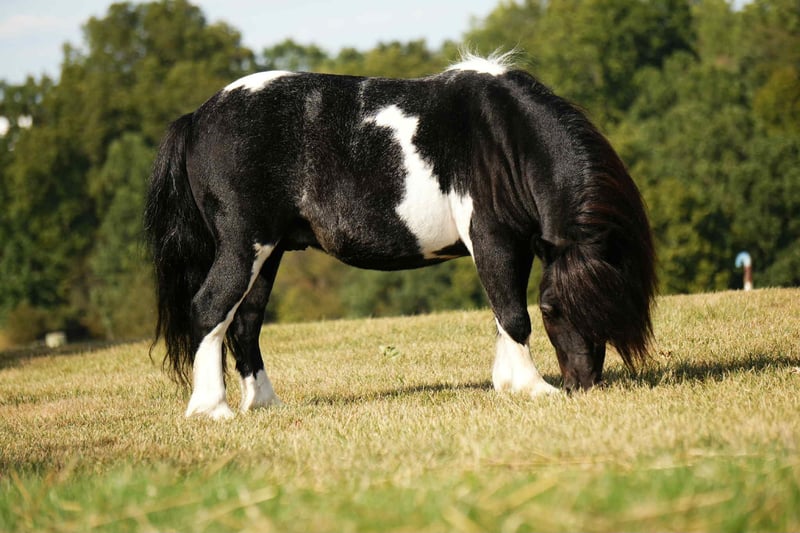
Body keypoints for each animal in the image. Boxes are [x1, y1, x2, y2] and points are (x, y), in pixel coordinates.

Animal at [144, 53, 657, 419]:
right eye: (552, 309)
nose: (579, 385)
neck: (503, 137)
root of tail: (198, 118)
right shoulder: (492, 238)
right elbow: (513, 315)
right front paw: (532, 388)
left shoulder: (515, 244)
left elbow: (500, 310)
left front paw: (507, 384)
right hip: (243, 246)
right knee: (210, 309)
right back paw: (212, 409)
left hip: (268, 253)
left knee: (245, 322)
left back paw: (265, 404)